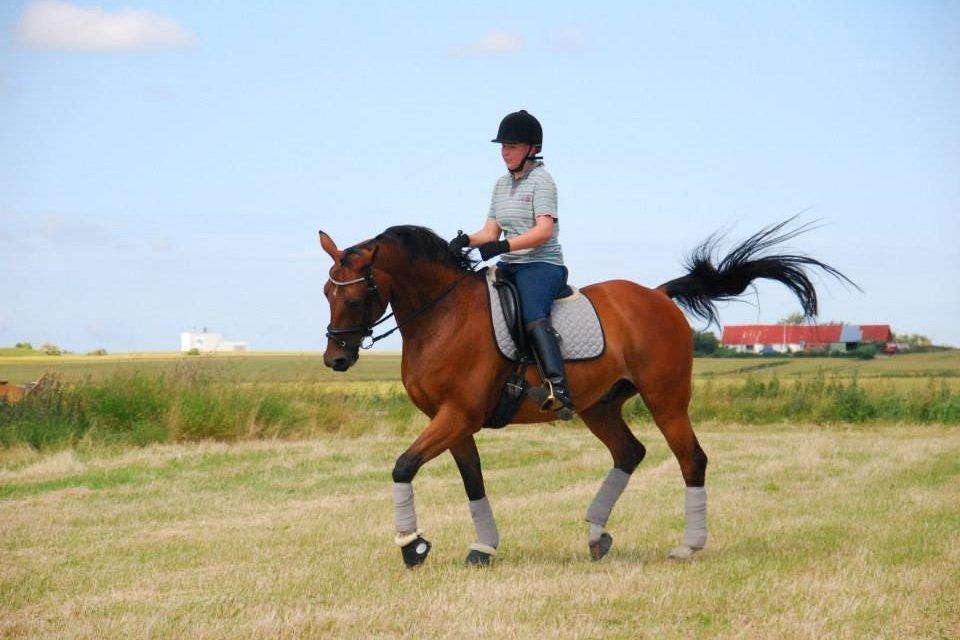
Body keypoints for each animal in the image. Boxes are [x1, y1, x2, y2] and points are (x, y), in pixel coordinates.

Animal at [318, 219, 853, 567]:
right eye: (327, 292)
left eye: (357, 294)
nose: (336, 359)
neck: (441, 316)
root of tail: (657, 296)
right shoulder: (453, 421)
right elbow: (473, 483)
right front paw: (482, 547)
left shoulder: (458, 415)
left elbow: (403, 465)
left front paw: (411, 545)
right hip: (601, 406)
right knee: (629, 452)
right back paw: (596, 535)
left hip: (666, 400)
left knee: (691, 459)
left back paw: (688, 546)